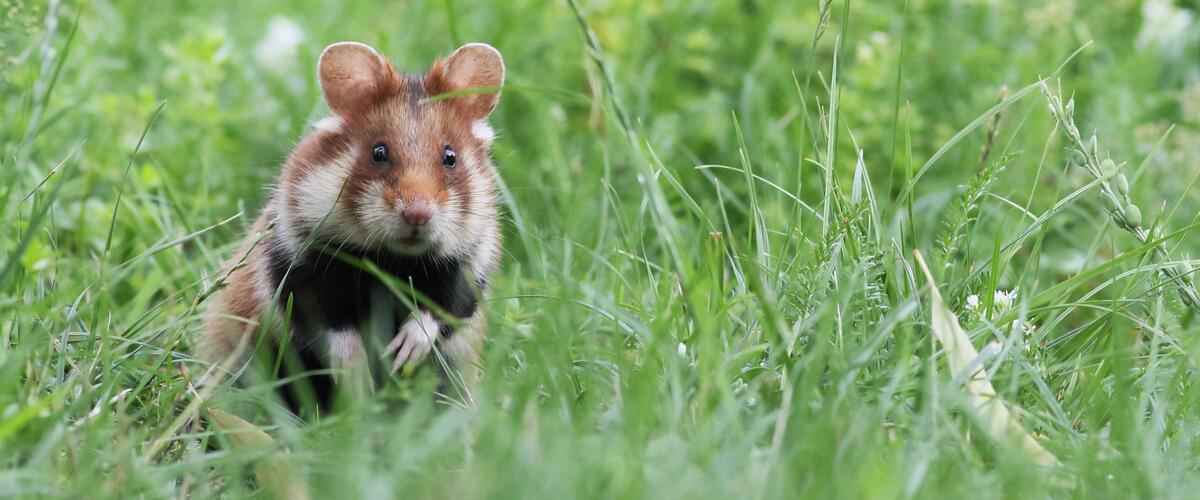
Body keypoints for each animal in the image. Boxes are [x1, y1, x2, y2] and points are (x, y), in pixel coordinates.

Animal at [199, 41, 504, 410]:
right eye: (378, 152)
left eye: (450, 157)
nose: (417, 215)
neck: (393, 259)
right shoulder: (296, 267)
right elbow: (333, 327)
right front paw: (358, 383)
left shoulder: (470, 268)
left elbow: (440, 311)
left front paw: (401, 355)